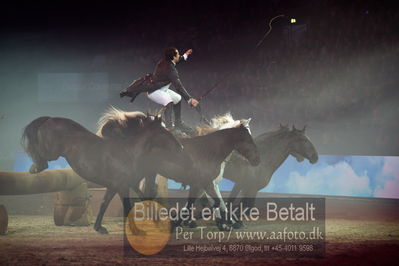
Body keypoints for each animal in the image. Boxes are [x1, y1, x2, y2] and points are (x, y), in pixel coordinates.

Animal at [21, 114, 194, 233]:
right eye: (165, 133)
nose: (181, 148)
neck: (131, 154)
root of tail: (50, 119)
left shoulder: (118, 185)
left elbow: (106, 204)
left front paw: (98, 228)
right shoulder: (122, 186)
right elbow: (127, 207)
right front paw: (136, 230)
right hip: (53, 152)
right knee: (42, 157)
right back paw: (34, 168)